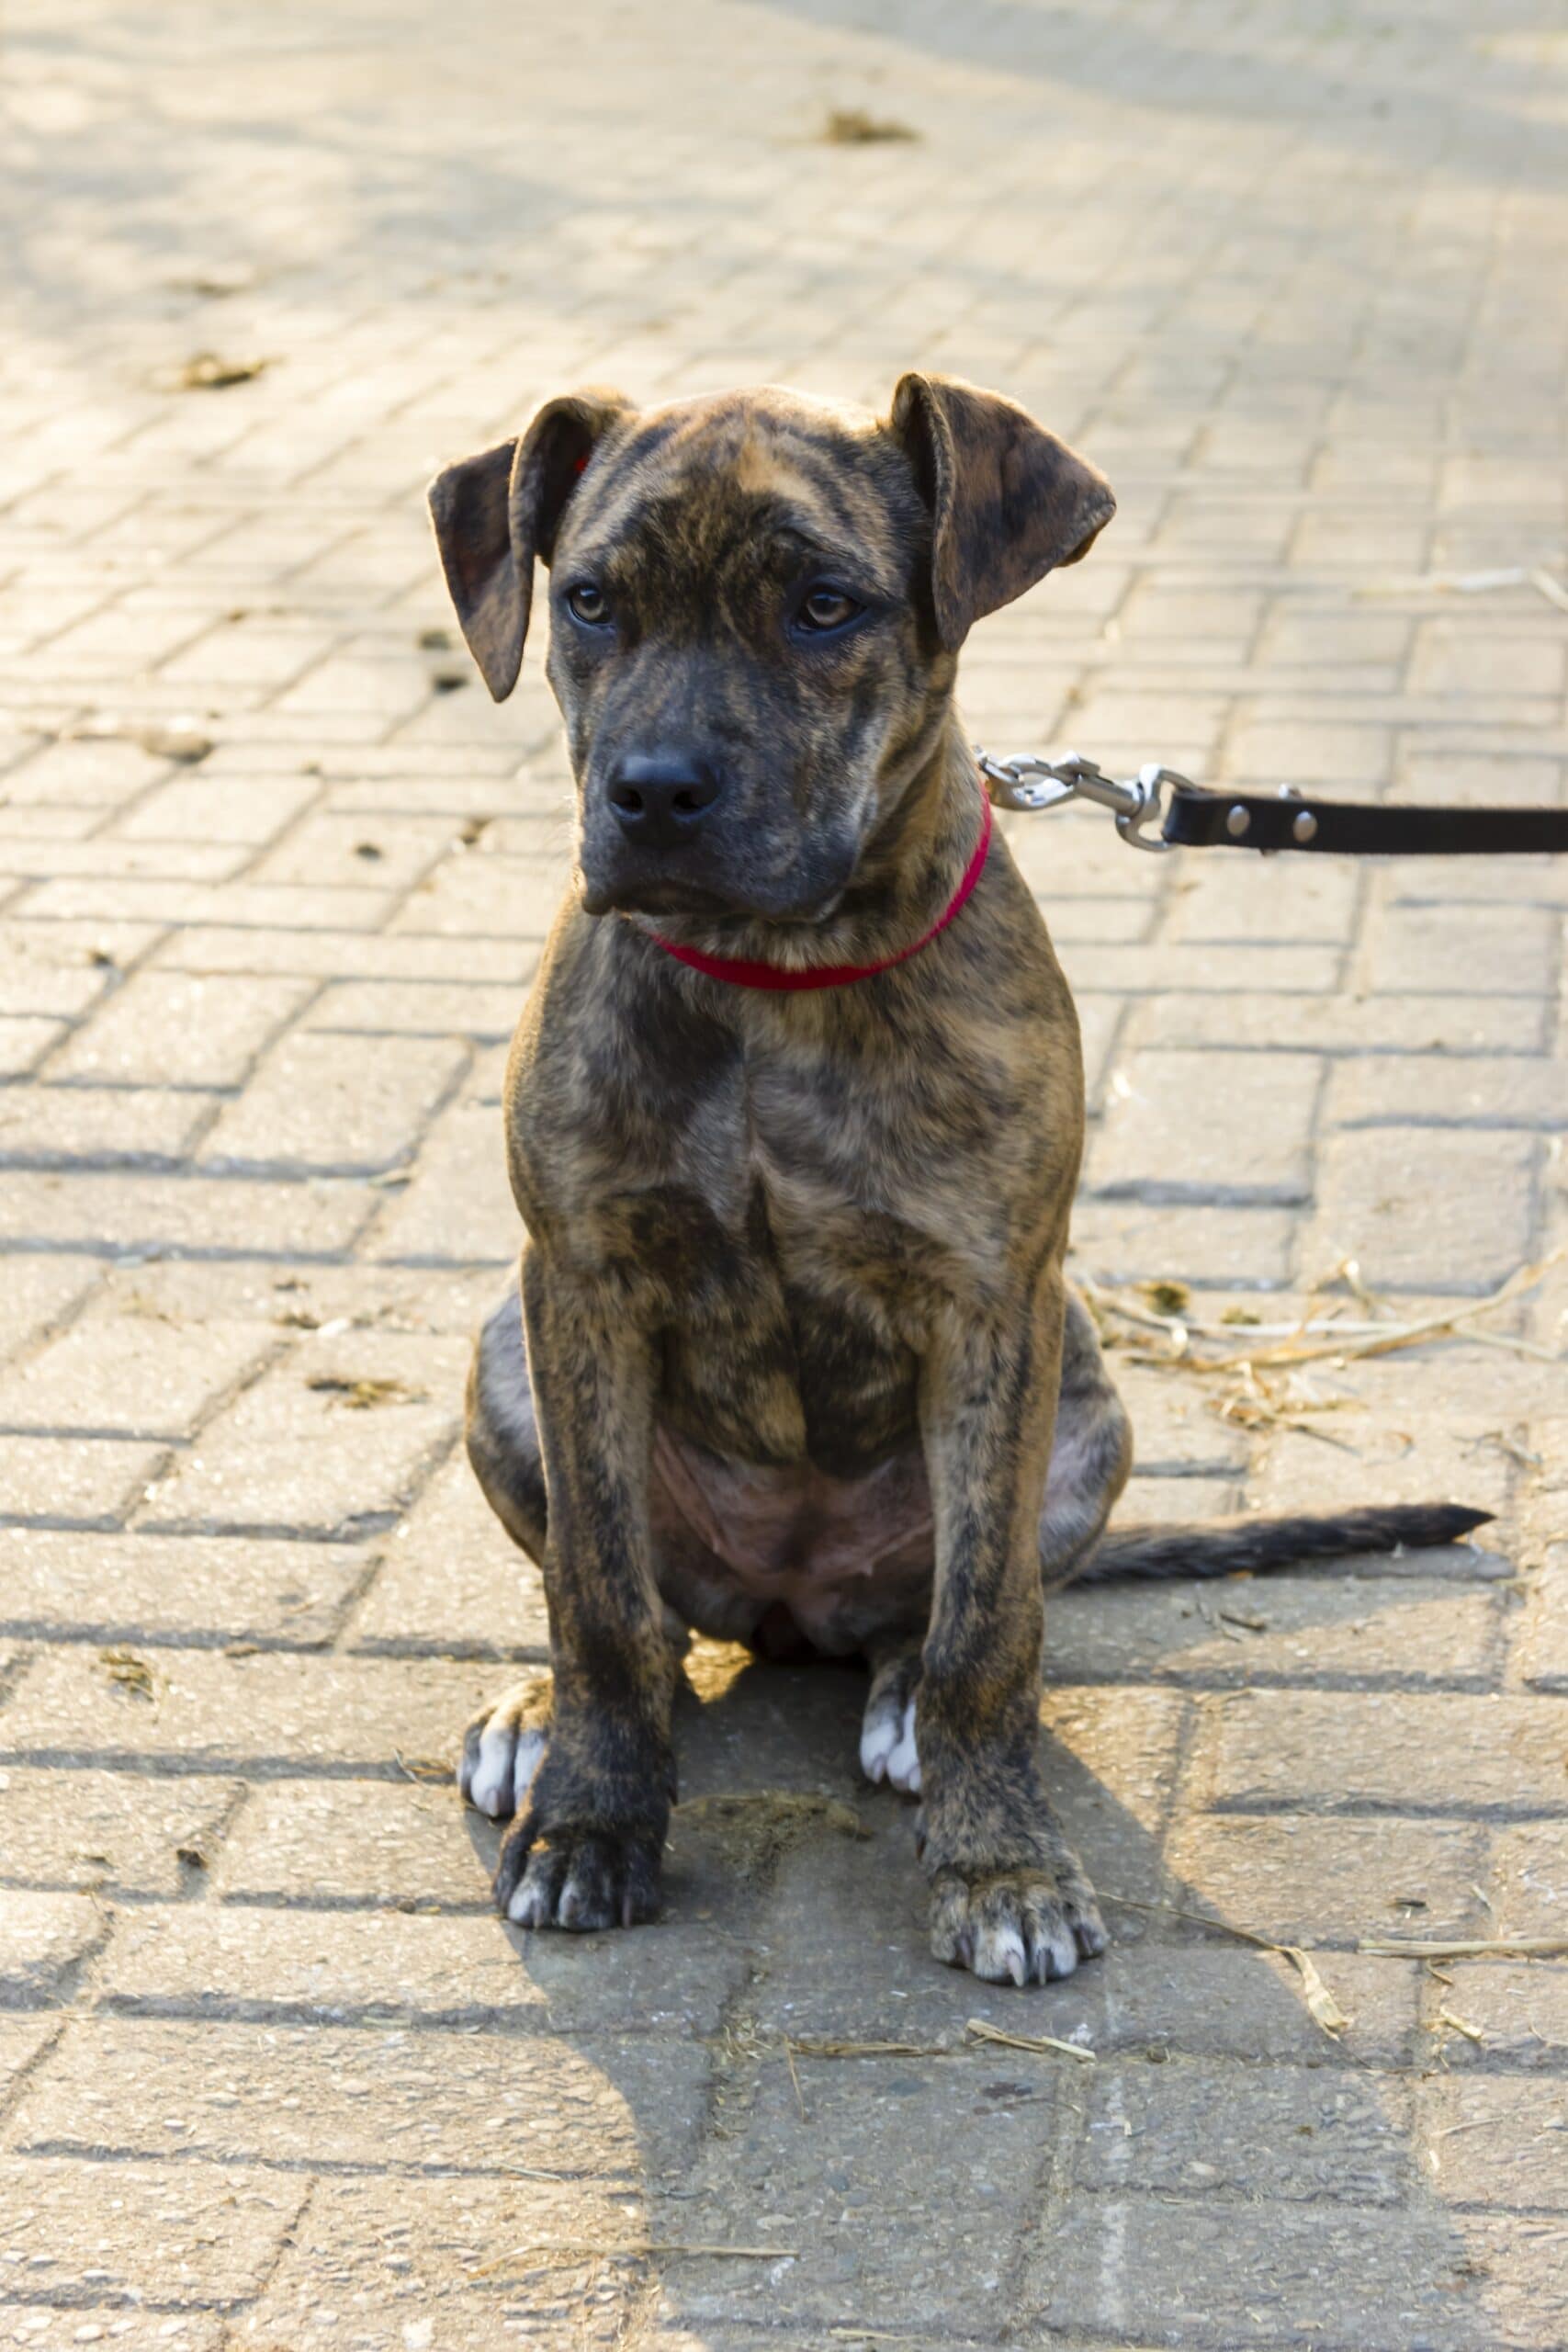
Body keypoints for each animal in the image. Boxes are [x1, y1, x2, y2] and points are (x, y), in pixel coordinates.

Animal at [425, 371, 1485, 1984]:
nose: (653, 794)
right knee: (643, 1614)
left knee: (926, 1625)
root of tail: (789, 1607)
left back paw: (903, 1708)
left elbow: (989, 1628)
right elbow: (596, 1598)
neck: (772, 979)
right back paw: (546, 1719)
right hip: (505, 1355)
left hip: (1084, 1410)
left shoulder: (992, 1305)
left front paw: (999, 1867)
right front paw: (593, 1822)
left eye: (823, 606)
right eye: (591, 600)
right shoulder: (581, 1284)